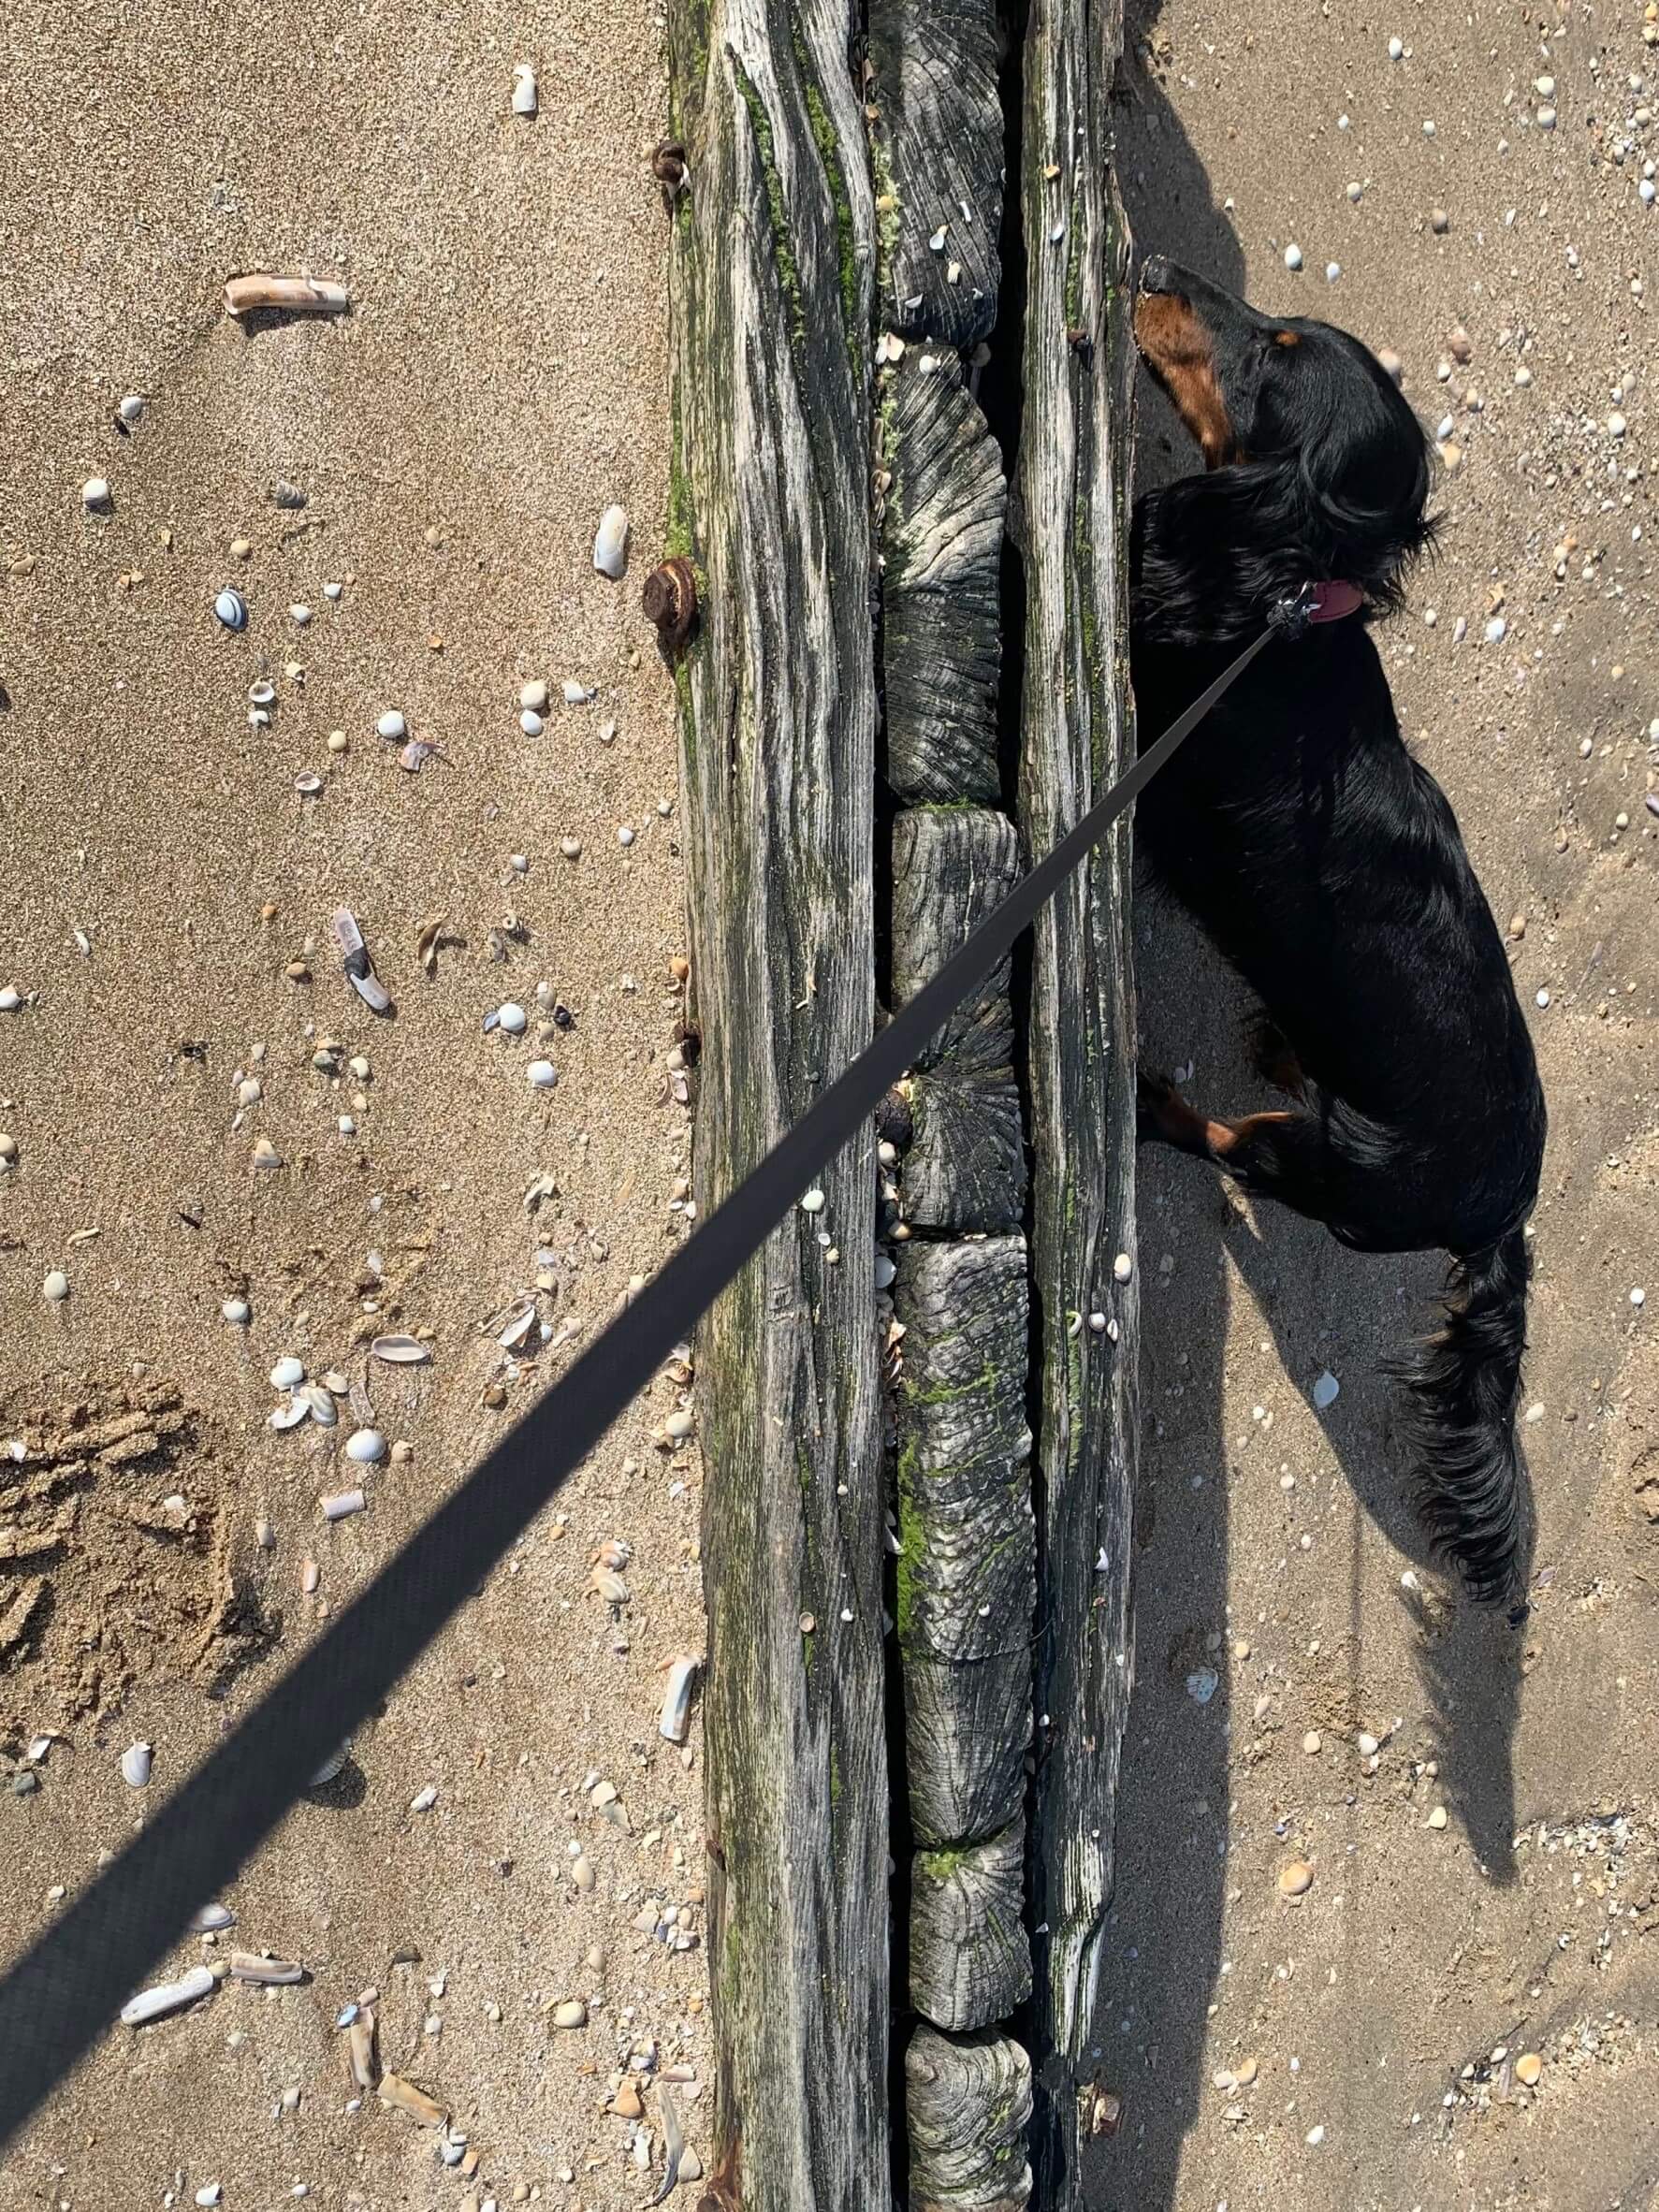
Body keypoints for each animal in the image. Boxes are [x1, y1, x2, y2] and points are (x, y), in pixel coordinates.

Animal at [1141, 254, 1557, 1609]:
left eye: (1274, 353)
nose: (1150, 266)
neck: (1278, 610)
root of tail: (1501, 1213)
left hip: (1327, 1170)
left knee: (1234, 1144)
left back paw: (1160, 1105)